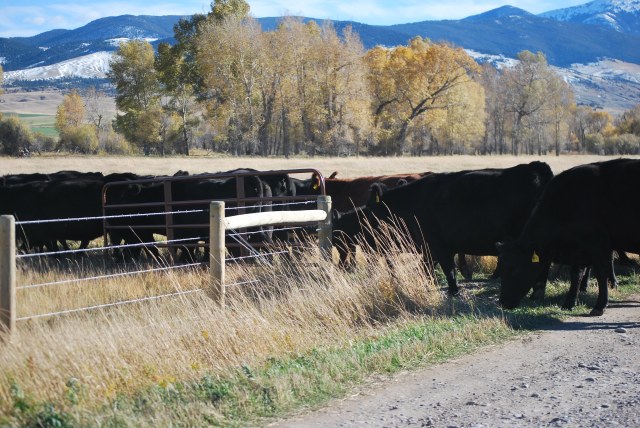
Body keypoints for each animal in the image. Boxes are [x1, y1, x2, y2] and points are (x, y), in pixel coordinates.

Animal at [332, 161, 554, 296]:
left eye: (368, 220)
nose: (341, 266)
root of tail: (535, 168)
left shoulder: (436, 247)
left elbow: (441, 270)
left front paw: (451, 290)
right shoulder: (435, 249)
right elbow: (433, 270)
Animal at [498, 158, 640, 316]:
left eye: (515, 269)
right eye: (501, 269)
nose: (502, 302)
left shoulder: (598, 244)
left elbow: (601, 273)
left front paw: (600, 305)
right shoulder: (579, 248)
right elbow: (576, 275)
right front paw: (569, 303)